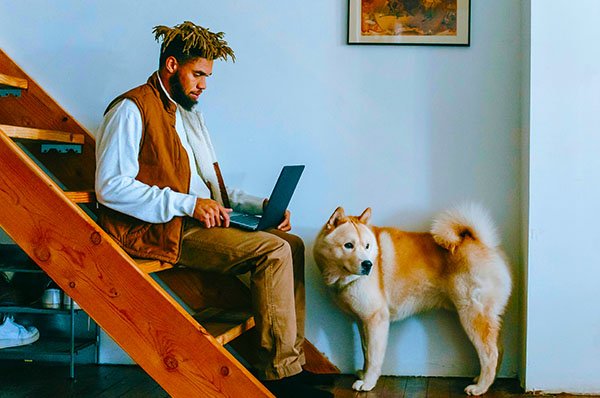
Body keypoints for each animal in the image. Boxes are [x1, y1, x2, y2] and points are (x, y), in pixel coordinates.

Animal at [312, 204, 512, 396]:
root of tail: (483, 243)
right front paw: (363, 373)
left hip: (472, 315)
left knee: (490, 354)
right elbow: (366, 351)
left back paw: (480, 387)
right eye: (348, 245)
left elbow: (374, 357)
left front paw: (368, 382)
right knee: (499, 349)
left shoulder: (376, 319)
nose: (368, 264)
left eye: (367, 246)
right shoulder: (363, 321)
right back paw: (486, 381)